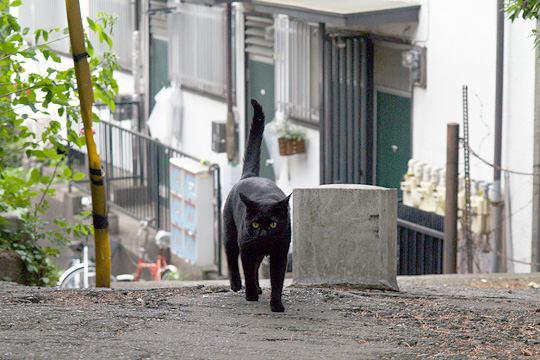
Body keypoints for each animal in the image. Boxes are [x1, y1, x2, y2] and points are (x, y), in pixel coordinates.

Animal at [223, 98, 294, 312]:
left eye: (273, 224)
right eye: (254, 224)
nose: (263, 233)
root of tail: (249, 175)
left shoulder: (280, 253)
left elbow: (277, 281)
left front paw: (276, 304)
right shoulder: (247, 248)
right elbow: (247, 270)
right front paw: (251, 295)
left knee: (255, 268)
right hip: (231, 234)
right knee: (231, 257)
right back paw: (237, 285)